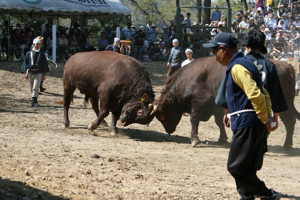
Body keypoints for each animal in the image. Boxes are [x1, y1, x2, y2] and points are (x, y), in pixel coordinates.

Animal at [151, 56, 298, 150]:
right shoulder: (217, 107)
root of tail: (287, 66)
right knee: (290, 121)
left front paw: (194, 140)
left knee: (287, 121)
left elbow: (194, 120)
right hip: (287, 104)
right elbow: (219, 122)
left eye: (162, 115)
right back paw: (287, 145)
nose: (169, 130)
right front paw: (222, 139)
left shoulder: (198, 104)